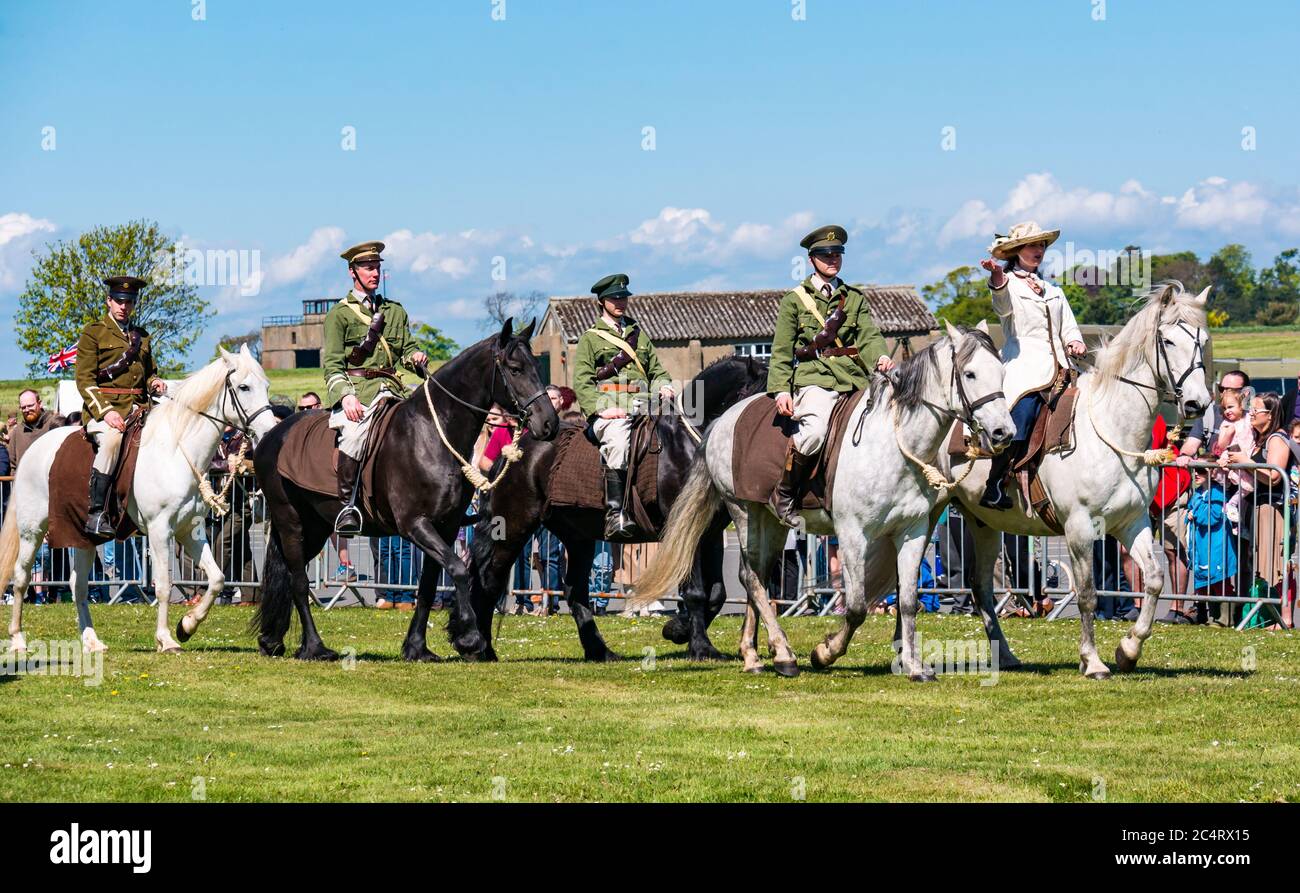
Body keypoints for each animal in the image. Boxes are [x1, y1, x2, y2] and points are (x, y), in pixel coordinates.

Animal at [1, 348, 276, 657]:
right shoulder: (159, 530)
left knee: (78, 585)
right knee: (21, 577)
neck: (176, 450)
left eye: (266, 386)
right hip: (32, 531)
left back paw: (91, 640)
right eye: (244, 387)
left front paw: (187, 626)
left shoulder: (190, 530)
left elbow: (217, 578)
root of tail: (33, 449)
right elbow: (164, 585)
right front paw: (166, 639)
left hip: (82, 535)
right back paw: (18, 638)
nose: (270, 430)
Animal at [253, 321, 559, 662]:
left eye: (537, 367)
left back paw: (271, 639)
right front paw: (469, 638)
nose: (549, 423)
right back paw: (314, 647)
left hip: (316, 526)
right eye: (515, 369)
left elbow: (428, 585)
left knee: (288, 576)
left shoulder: (445, 527)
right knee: (298, 579)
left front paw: (417, 647)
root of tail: (272, 435)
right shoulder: (415, 525)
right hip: (290, 521)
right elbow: (458, 569)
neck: (432, 434)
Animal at [465, 356, 769, 662]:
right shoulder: (685, 529)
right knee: (490, 579)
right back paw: (481, 648)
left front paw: (677, 630)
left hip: (578, 537)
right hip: (514, 528)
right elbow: (695, 591)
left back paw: (598, 650)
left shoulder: (710, 534)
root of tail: (513, 450)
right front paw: (700, 647)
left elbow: (717, 593)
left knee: (574, 590)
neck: (690, 445)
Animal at [629, 323, 1013, 675]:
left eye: (1002, 372)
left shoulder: (912, 532)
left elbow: (906, 601)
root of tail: (725, 418)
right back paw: (783, 655)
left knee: (758, 575)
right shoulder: (852, 534)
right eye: (970, 373)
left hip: (773, 521)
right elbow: (856, 606)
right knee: (750, 577)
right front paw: (824, 652)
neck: (894, 444)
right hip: (743, 512)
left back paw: (754, 654)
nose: (1003, 432)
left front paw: (915, 666)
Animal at [941, 279, 1211, 675]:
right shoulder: (1080, 527)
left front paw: (1128, 649)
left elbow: (1154, 580)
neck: (1113, 430)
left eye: (1202, 339)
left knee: (980, 587)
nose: (1197, 404)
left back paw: (1004, 655)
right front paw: (1093, 660)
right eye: (1168, 340)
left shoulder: (1132, 523)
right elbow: (1086, 594)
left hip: (982, 522)